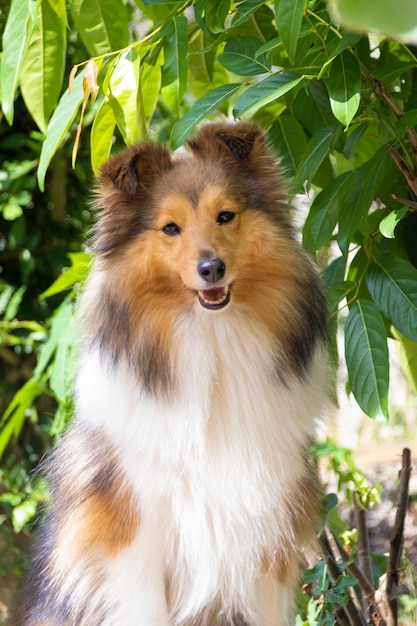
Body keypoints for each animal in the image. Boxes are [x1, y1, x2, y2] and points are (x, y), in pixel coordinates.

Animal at [19, 123, 330, 624]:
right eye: (170, 228)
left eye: (226, 216)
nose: (212, 269)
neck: (212, 342)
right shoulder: (133, 544)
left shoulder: (267, 539)